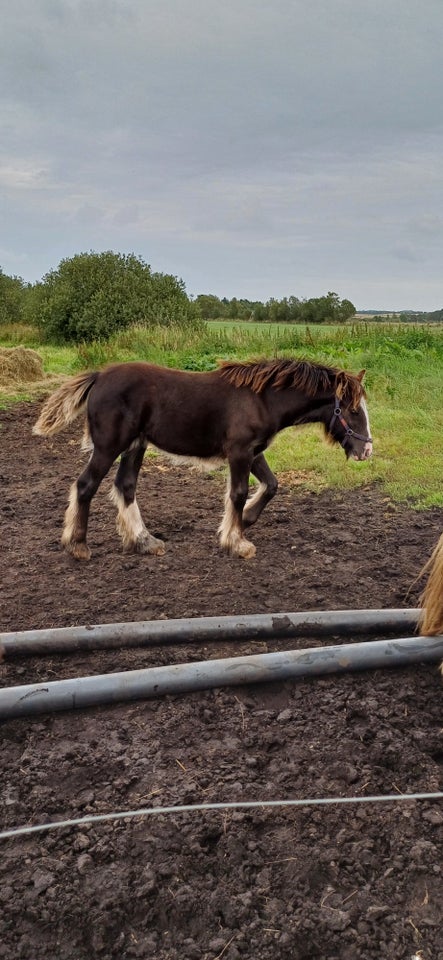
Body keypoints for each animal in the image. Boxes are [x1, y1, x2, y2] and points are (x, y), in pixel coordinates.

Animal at [33, 356, 372, 560]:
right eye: (353, 410)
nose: (366, 450)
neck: (262, 400)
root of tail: (100, 375)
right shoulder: (240, 452)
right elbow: (238, 493)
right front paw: (237, 541)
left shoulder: (254, 452)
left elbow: (271, 485)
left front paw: (244, 522)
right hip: (109, 446)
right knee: (86, 485)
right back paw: (78, 545)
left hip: (136, 446)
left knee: (125, 486)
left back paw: (144, 541)